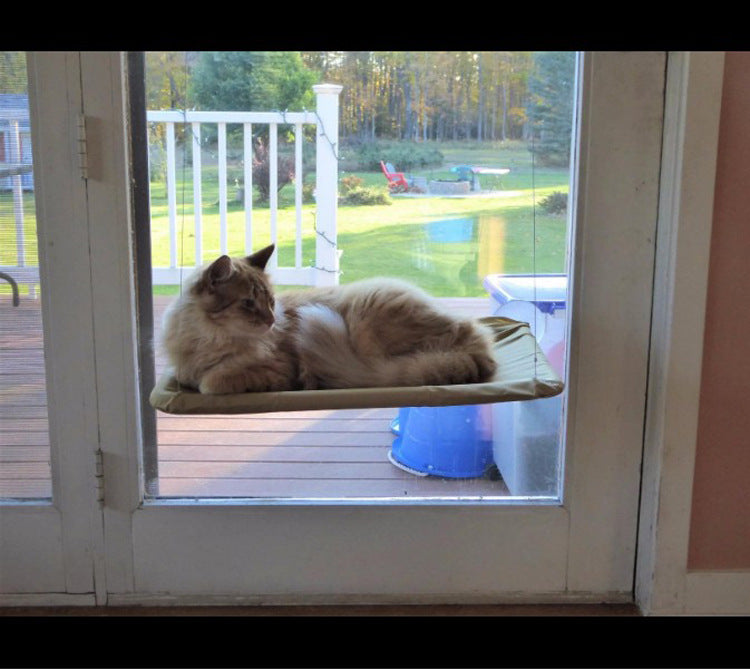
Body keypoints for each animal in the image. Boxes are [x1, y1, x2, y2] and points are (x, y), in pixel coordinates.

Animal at [160, 245, 500, 394]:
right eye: (247, 304)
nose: (270, 321)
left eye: (270, 301)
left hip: (369, 320)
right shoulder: (184, 368)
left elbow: (211, 382)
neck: (207, 339)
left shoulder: (276, 369)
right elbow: (191, 377)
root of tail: (478, 350)